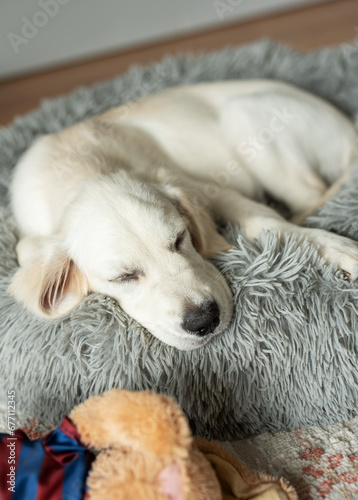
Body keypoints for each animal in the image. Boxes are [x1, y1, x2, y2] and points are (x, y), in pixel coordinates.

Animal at [7, 80, 358, 350]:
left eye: (180, 239)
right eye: (123, 277)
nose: (205, 320)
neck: (82, 168)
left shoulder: (205, 186)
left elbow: (264, 221)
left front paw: (337, 249)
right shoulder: (28, 242)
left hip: (241, 114)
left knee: (310, 194)